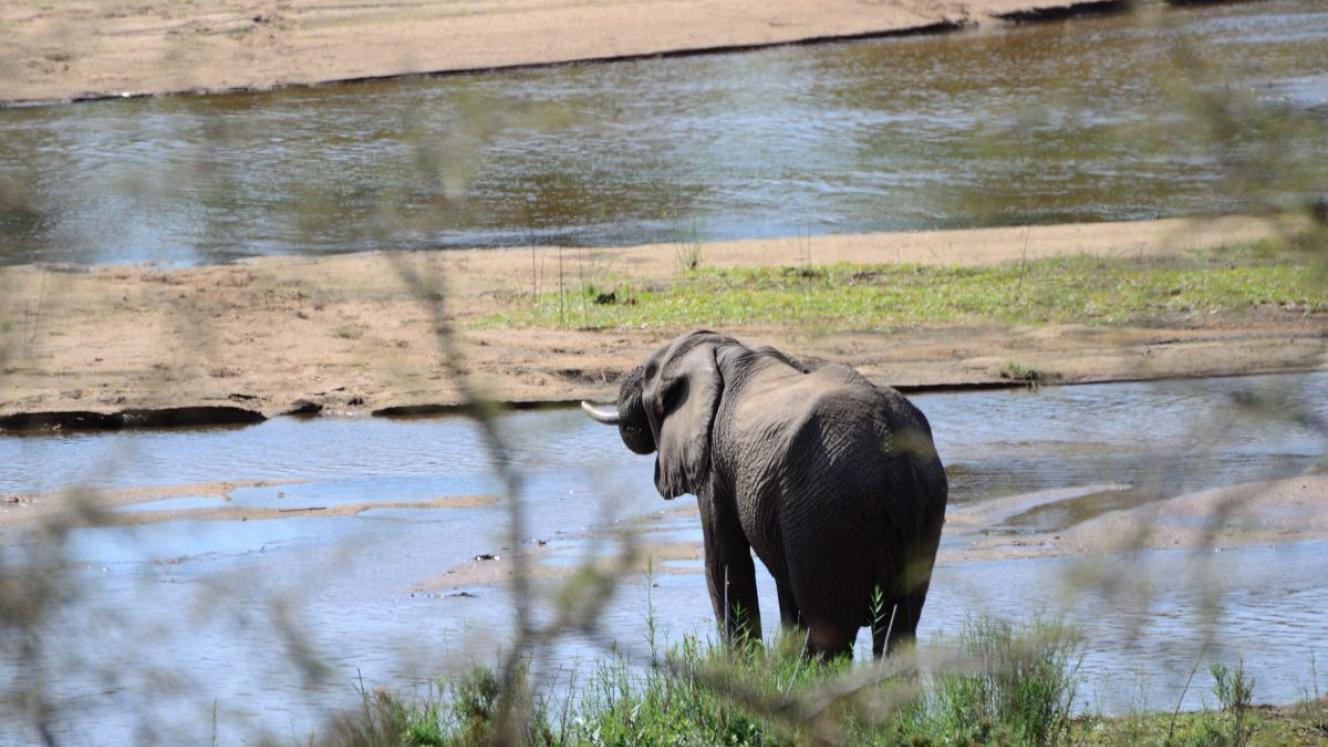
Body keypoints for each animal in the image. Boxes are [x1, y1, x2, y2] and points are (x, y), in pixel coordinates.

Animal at [582, 330, 947, 659]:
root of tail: (896, 463)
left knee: (833, 630)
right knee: (898, 628)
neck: (722, 347)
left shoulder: (714, 462)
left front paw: (744, 668)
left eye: (648, 373)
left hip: (827, 511)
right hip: (922, 508)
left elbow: (725, 561)